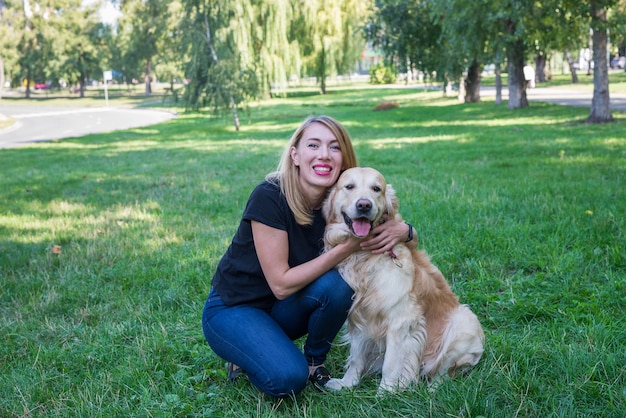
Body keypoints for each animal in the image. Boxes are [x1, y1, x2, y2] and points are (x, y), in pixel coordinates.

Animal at [322, 168, 482, 394]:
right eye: (349, 186)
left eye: (376, 188)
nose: (364, 205)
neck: (364, 256)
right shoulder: (362, 314)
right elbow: (356, 358)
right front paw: (347, 383)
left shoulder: (401, 319)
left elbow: (391, 363)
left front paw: (386, 393)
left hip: (462, 324)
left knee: (443, 372)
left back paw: (431, 390)